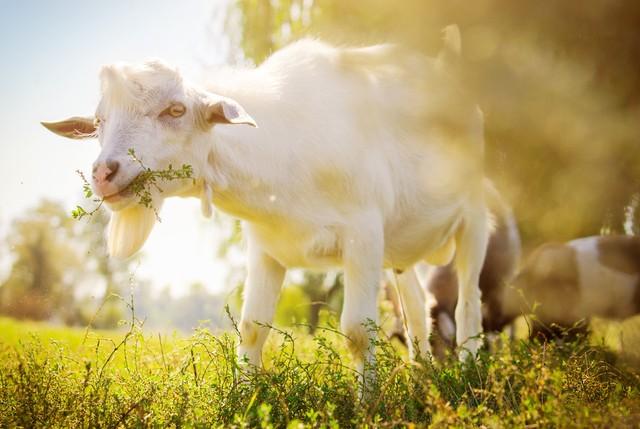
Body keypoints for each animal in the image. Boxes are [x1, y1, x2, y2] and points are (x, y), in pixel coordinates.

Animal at [42, 26, 488, 376]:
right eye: (98, 121)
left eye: (176, 109)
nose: (104, 172)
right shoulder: (265, 248)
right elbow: (253, 329)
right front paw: (244, 400)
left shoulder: (363, 236)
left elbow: (359, 333)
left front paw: (369, 407)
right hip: (399, 248)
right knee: (417, 308)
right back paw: (422, 375)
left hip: (475, 217)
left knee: (468, 304)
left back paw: (466, 375)